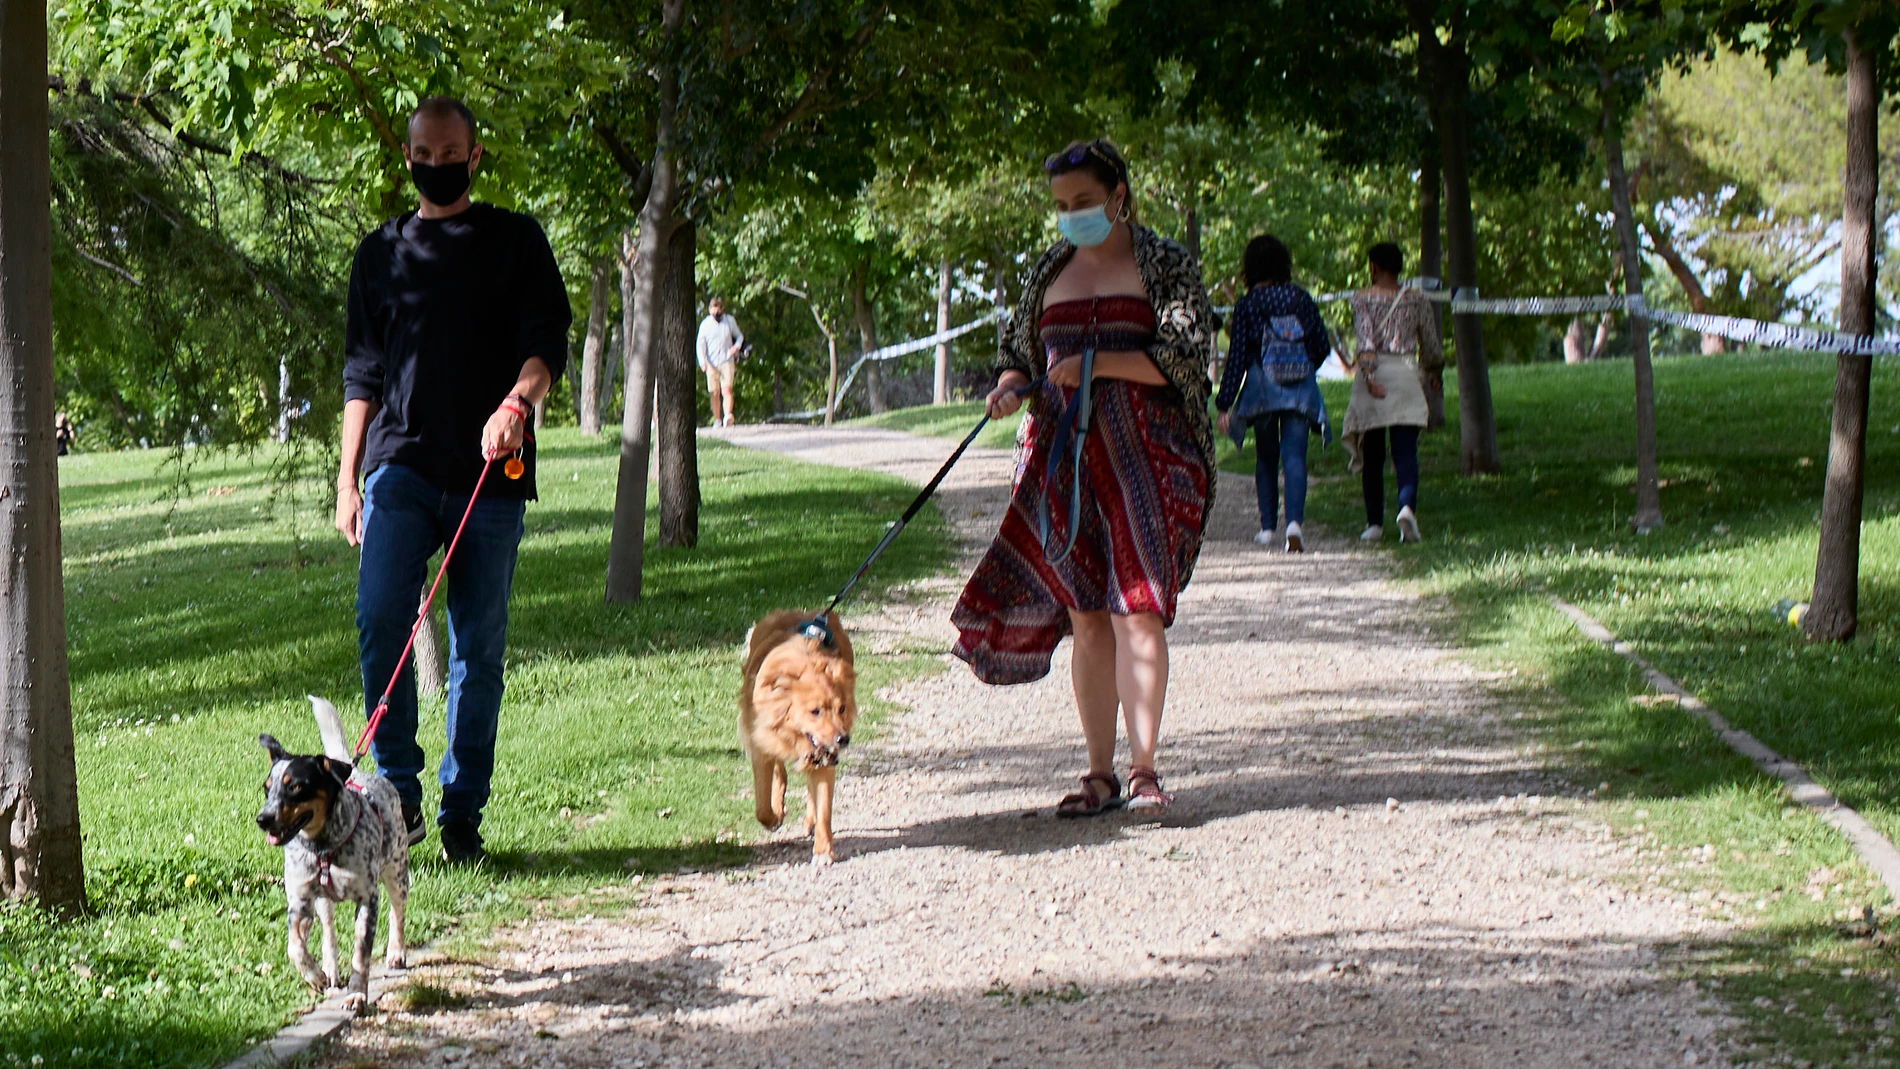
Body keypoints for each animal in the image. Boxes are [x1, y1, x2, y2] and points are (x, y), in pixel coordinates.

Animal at [256, 698, 408, 1010]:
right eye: (267, 789)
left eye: (295, 786)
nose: (262, 819)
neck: (323, 848)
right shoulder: (300, 901)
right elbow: (295, 946)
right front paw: (314, 975)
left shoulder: (367, 900)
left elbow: (361, 955)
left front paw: (357, 994)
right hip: (322, 904)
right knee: (328, 933)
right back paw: (329, 970)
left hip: (397, 873)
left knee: (397, 912)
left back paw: (396, 952)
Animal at [737, 611, 858, 862]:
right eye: (815, 711)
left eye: (841, 708)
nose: (843, 739)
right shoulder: (761, 748)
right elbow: (761, 807)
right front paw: (773, 817)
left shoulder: (825, 757)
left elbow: (824, 809)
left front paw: (823, 851)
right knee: (780, 771)